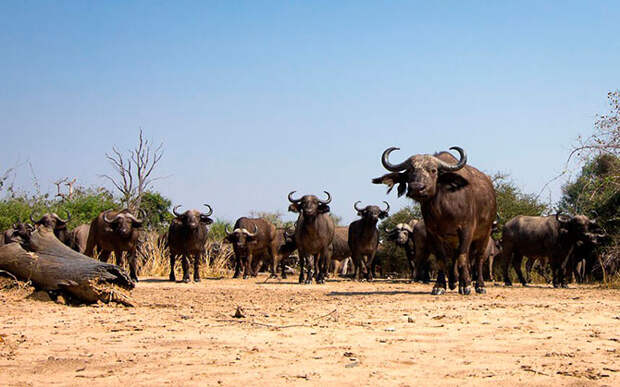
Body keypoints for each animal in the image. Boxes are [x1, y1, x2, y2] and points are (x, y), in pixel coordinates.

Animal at [370, 147, 496, 296]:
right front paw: (439, 286)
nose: (417, 188)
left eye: (433, 170)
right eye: (410, 171)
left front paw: (466, 285)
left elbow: (463, 257)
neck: (443, 208)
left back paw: (479, 285)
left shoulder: (466, 230)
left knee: (478, 259)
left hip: (484, 234)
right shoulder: (433, 233)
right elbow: (441, 259)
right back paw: (453, 282)